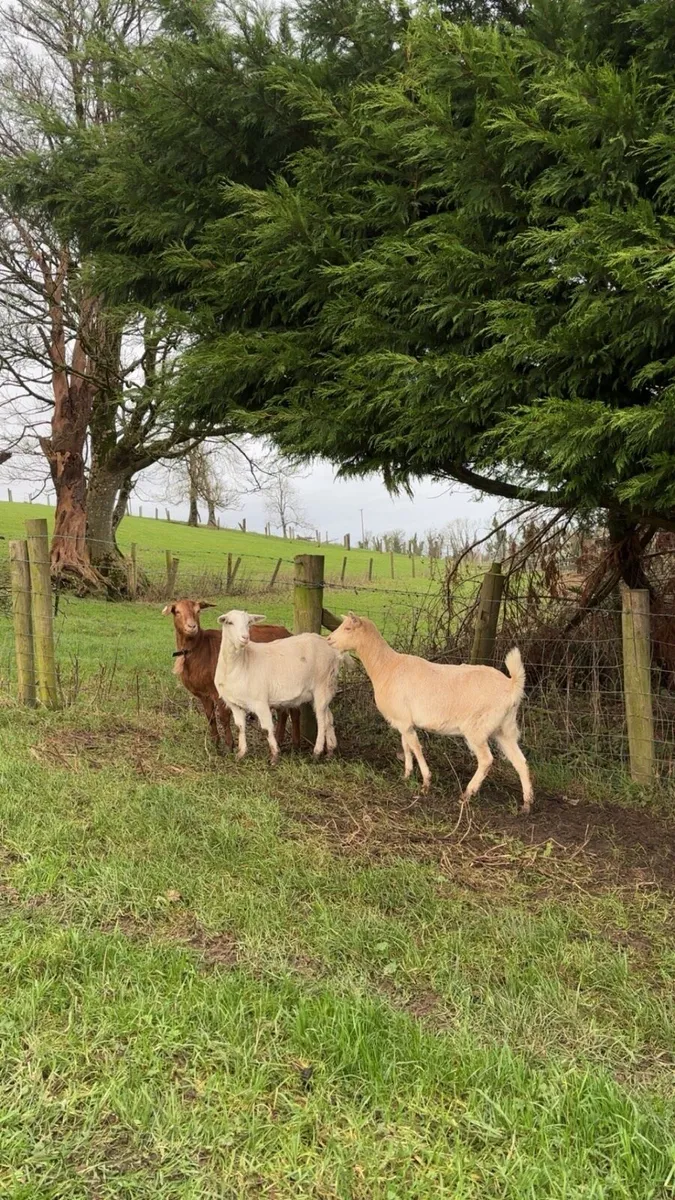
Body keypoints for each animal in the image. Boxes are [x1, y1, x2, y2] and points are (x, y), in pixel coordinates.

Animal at [162, 599, 301, 751]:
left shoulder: (218, 691)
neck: (200, 648)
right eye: (177, 612)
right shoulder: (204, 693)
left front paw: (229, 746)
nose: (192, 626)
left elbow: (223, 717)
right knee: (285, 711)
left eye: (198, 611)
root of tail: (289, 634)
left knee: (293, 711)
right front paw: (215, 744)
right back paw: (283, 741)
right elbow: (210, 717)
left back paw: (293, 744)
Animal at [215, 609, 342, 763]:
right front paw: (241, 753)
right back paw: (330, 751)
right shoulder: (234, 704)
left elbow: (267, 728)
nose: (245, 637)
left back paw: (317, 752)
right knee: (328, 717)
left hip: (322, 684)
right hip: (325, 688)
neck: (240, 663)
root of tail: (331, 647)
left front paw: (275, 756)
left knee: (322, 720)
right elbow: (240, 727)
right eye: (229, 622)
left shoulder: (260, 701)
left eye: (249, 622)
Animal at [327, 612, 533, 813]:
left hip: (477, 728)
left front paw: (425, 783)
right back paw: (527, 804)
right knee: (520, 761)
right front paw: (406, 775)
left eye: (348, 628)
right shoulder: (403, 720)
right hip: (504, 729)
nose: (329, 639)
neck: (386, 667)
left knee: (486, 759)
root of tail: (512, 686)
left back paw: (466, 794)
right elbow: (406, 746)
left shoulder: (404, 722)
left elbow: (416, 747)